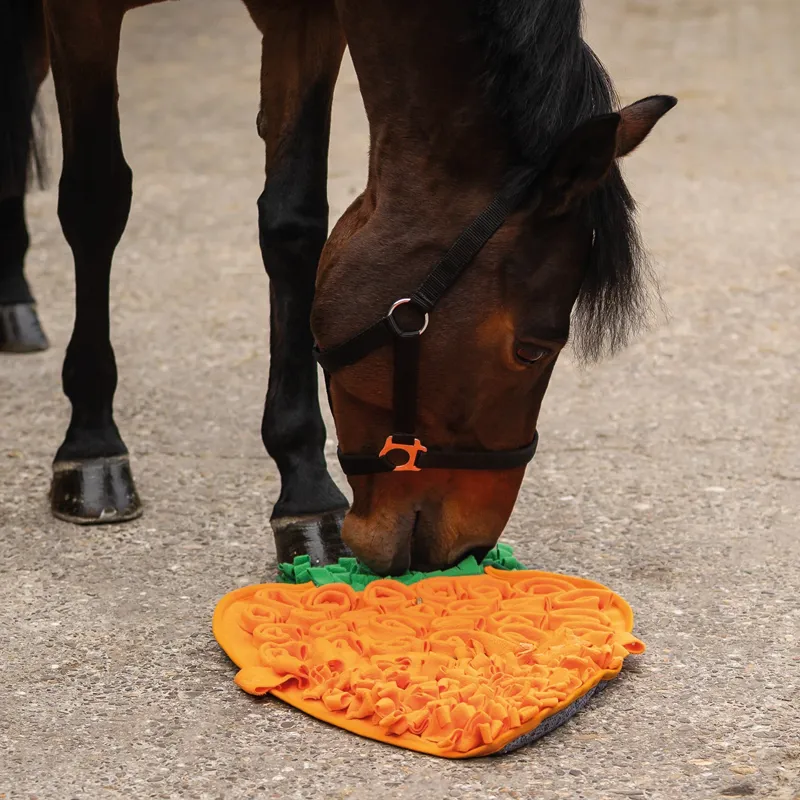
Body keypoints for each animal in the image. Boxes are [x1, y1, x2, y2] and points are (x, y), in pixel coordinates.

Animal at [0, 0, 675, 575]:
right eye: (532, 350)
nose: (473, 547)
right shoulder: (80, 11)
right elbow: (95, 202)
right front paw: (91, 446)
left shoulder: (305, 17)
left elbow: (293, 225)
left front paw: (304, 491)